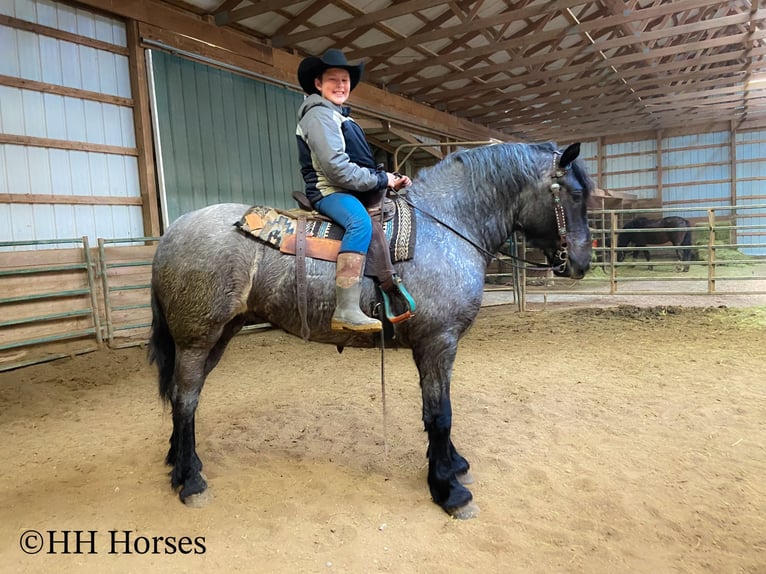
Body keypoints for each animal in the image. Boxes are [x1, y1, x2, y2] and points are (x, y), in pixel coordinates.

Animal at [148, 141, 594, 519]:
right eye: (574, 195)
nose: (581, 263)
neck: (447, 225)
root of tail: (173, 232)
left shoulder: (438, 347)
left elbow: (440, 409)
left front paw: (453, 465)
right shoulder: (437, 343)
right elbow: (440, 414)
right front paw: (449, 490)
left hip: (219, 335)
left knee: (184, 396)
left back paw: (181, 461)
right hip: (197, 338)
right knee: (185, 399)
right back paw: (190, 481)